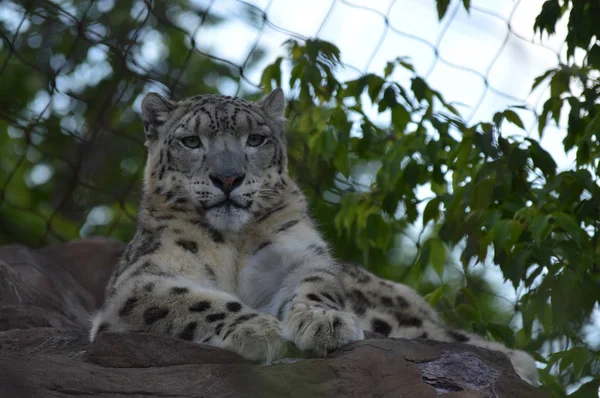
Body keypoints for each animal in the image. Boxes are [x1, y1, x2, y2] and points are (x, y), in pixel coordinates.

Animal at [90, 88, 540, 386]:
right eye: (190, 140)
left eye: (256, 139)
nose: (229, 178)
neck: (234, 244)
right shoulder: (142, 278)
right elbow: (193, 299)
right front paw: (261, 331)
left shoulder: (302, 258)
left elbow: (315, 287)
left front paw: (324, 323)